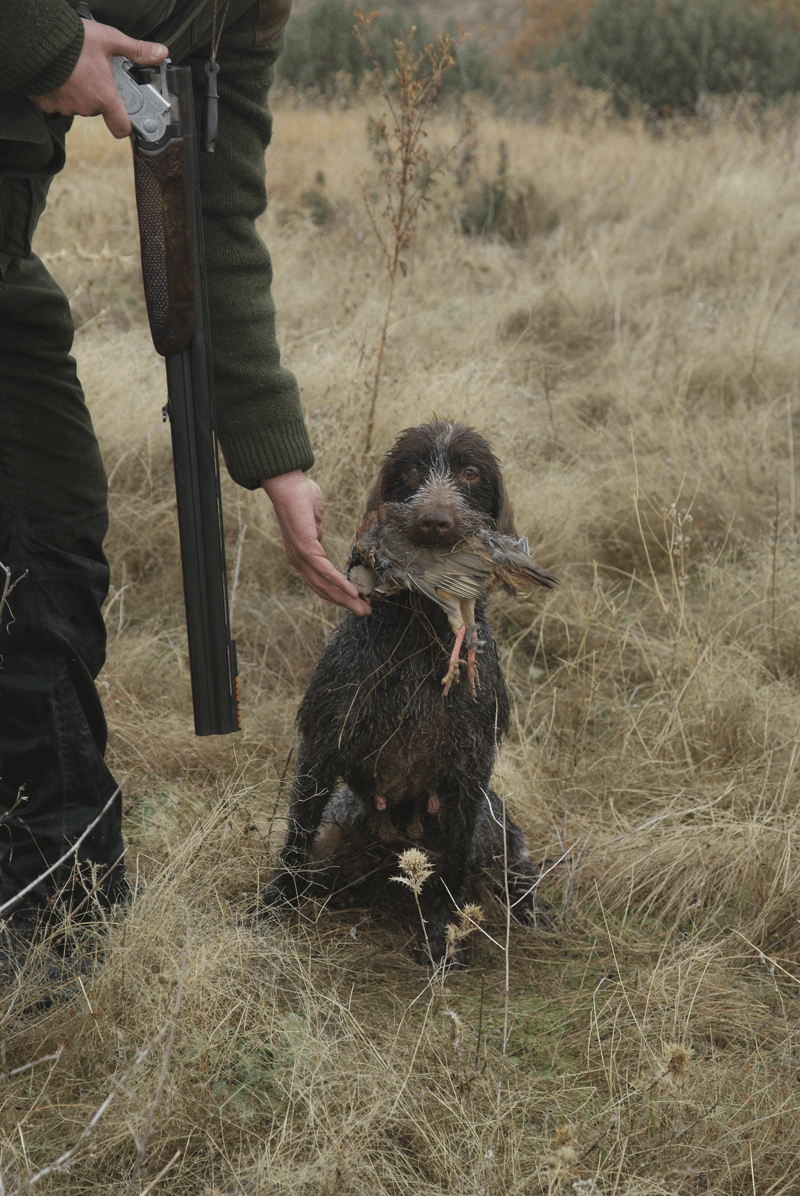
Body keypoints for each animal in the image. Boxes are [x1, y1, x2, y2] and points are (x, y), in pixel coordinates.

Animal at [263, 419, 557, 965]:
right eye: (412, 470)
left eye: (470, 472)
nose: (437, 522)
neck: (418, 633)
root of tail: (398, 836)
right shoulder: (322, 745)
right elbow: (295, 839)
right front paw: (271, 909)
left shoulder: (469, 768)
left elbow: (453, 869)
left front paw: (442, 936)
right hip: (339, 830)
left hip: (490, 822)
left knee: (512, 861)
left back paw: (531, 906)